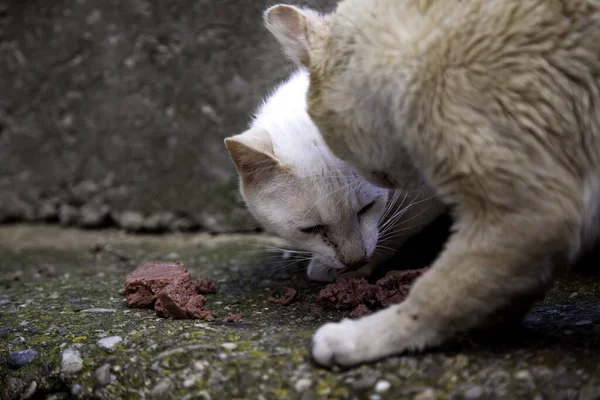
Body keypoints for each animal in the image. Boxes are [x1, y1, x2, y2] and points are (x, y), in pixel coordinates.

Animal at [266, 0, 600, 368]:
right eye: (311, 230)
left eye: (367, 207)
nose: (353, 261)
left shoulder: (530, 211)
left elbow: (438, 294)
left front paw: (360, 338)